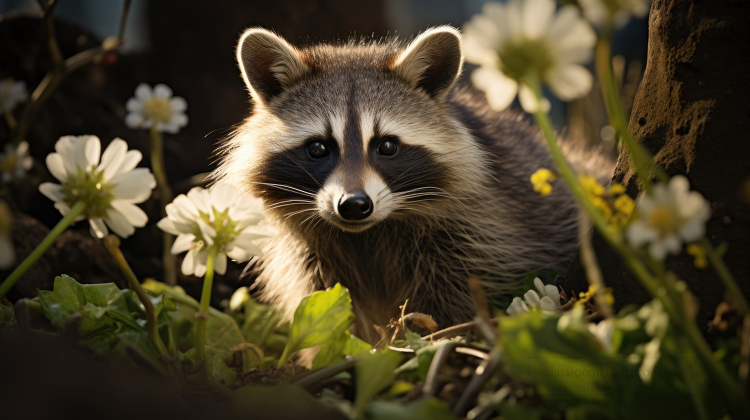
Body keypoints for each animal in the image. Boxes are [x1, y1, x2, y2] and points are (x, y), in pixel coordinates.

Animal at [214, 25, 612, 342]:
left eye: (387, 146)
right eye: (317, 148)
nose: (354, 205)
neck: (367, 235)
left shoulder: (481, 231)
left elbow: (455, 303)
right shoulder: (310, 256)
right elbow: (323, 307)